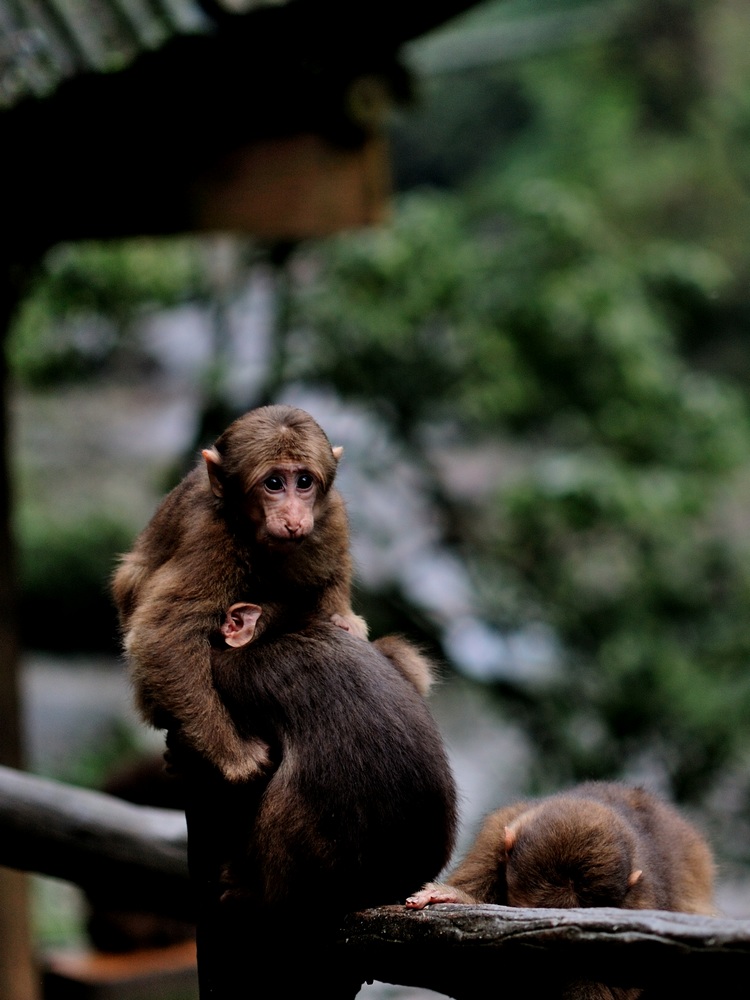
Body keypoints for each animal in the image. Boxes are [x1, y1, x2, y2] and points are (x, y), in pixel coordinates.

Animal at [109, 404, 376, 780]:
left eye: (304, 482)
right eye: (274, 483)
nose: (294, 518)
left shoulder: (331, 514)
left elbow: (332, 569)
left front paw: (344, 620)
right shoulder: (210, 535)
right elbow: (161, 634)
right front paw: (234, 755)